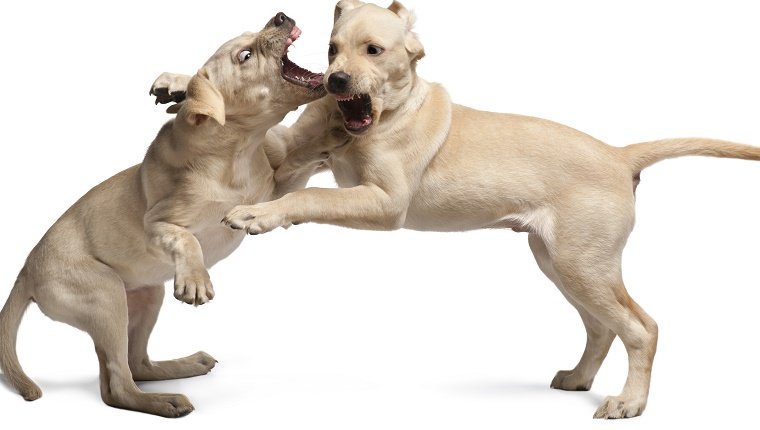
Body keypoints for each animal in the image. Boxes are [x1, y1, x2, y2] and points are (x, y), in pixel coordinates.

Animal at [0, 12, 324, 416]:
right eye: (245, 55)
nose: (281, 16)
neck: (235, 151)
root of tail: (25, 272)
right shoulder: (158, 223)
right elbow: (186, 238)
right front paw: (196, 281)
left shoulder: (274, 190)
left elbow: (296, 178)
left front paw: (331, 143)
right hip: (105, 297)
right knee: (118, 386)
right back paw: (165, 401)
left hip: (145, 297)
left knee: (137, 364)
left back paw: (185, 366)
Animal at [217, 0, 760, 416]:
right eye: (331, 50)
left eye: (374, 50)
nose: (334, 82)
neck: (392, 111)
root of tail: (618, 154)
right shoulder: (301, 165)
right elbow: (292, 173)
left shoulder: (386, 203)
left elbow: (313, 196)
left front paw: (256, 216)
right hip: (560, 262)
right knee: (602, 327)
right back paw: (578, 378)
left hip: (583, 265)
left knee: (641, 328)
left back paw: (630, 402)